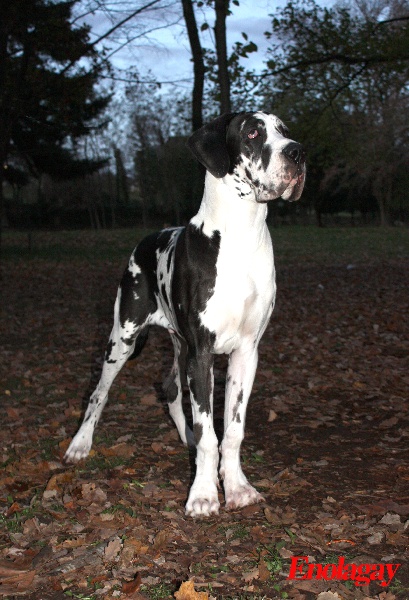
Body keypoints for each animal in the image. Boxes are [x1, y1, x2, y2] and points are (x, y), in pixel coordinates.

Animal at [65, 111, 306, 517]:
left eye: (284, 130)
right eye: (252, 132)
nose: (298, 152)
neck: (241, 237)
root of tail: (146, 239)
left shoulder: (245, 352)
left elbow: (232, 430)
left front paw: (237, 487)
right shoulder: (202, 352)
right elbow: (211, 433)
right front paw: (204, 494)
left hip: (179, 347)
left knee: (171, 389)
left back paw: (186, 437)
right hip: (123, 338)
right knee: (99, 393)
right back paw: (79, 444)